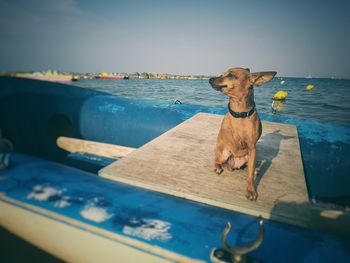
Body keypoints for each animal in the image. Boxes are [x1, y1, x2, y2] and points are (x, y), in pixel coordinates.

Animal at [209, 67, 278, 200]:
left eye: (230, 75)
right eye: (221, 74)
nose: (210, 79)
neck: (239, 113)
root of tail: (233, 165)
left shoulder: (252, 148)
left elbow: (250, 175)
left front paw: (251, 190)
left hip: (251, 155)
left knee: (248, 167)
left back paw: (254, 169)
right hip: (224, 152)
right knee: (217, 160)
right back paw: (218, 167)